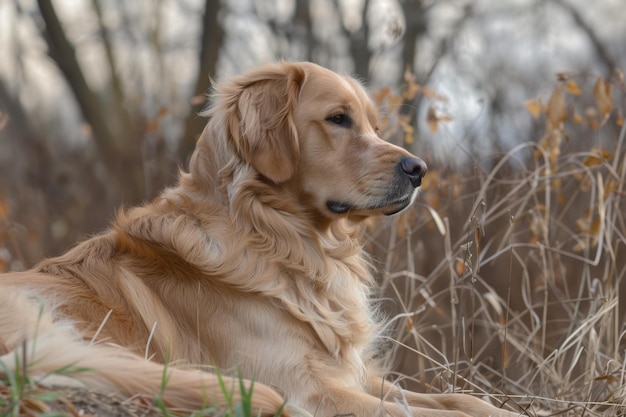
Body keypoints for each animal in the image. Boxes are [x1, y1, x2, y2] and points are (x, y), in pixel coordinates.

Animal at [0, 61, 516, 416]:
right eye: (338, 119)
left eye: (373, 125)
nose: (419, 169)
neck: (280, 239)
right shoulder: (307, 385)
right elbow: (424, 412)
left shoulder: (346, 372)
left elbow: (456, 400)